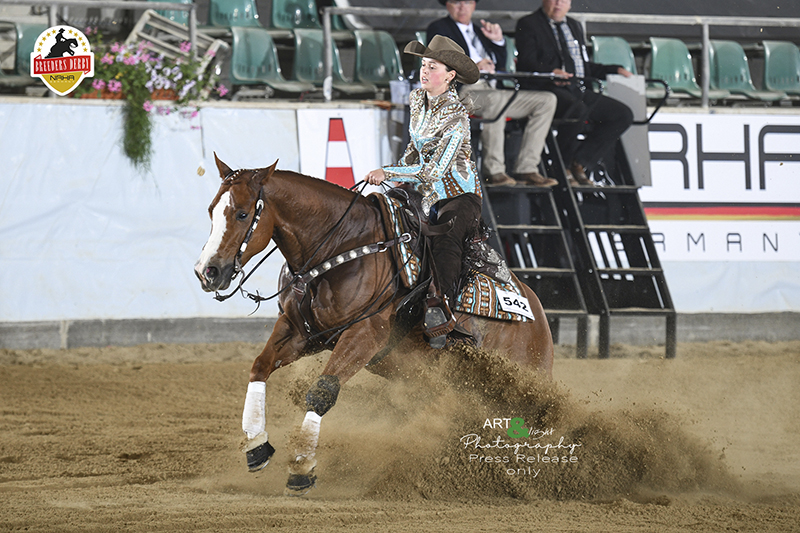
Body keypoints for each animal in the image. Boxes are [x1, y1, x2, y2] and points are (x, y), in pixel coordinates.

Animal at [195, 154, 556, 494]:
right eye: (212, 210)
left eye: (242, 214)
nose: (207, 271)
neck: (342, 247)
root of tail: (538, 315)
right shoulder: (301, 333)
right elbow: (260, 366)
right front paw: (256, 447)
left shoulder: (364, 337)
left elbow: (322, 392)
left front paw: (301, 468)